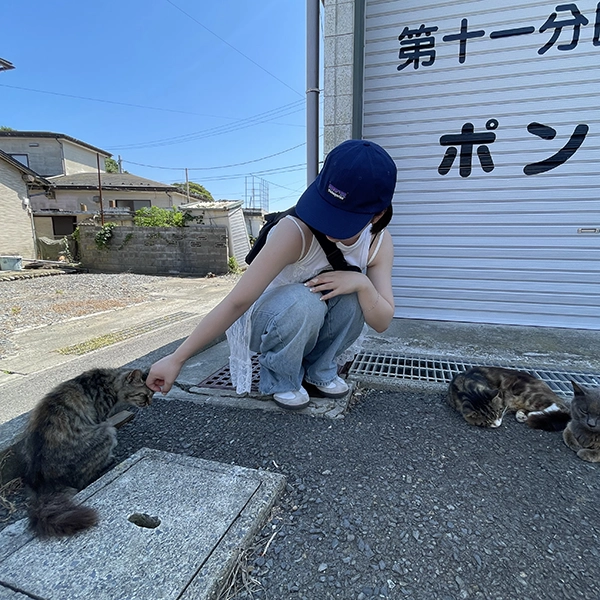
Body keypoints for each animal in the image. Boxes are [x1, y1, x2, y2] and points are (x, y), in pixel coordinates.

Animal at [20, 368, 154, 536]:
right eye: (143, 395)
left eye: (152, 394)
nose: (149, 403)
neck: (108, 382)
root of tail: (43, 481)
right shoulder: (102, 419)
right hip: (107, 431)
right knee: (84, 479)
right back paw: (107, 462)